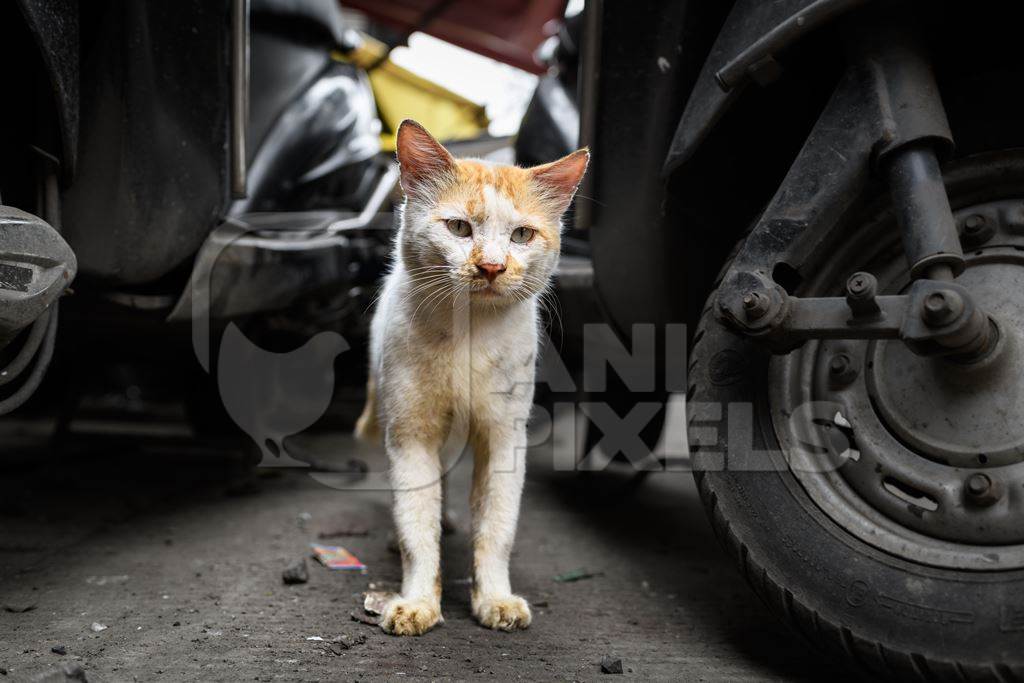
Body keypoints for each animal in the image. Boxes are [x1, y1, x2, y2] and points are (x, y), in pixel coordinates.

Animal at [356, 121, 589, 634]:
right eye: (460, 228)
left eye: (522, 235)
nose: (492, 266)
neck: (469, 337)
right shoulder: (410, 434)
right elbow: (415, 526)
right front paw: (417, 603)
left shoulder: (504, 439)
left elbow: (496, 529)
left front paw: (495, 600)